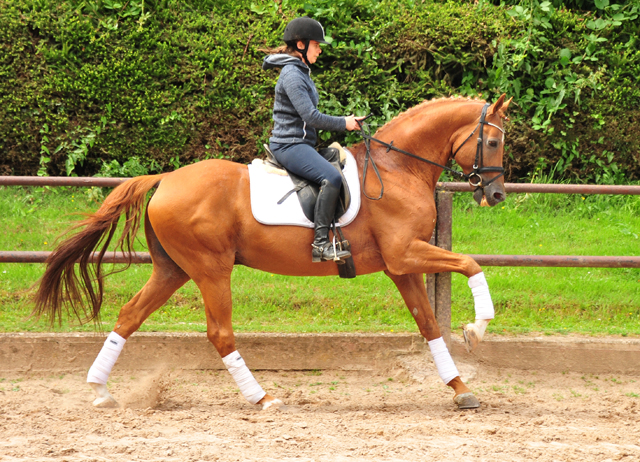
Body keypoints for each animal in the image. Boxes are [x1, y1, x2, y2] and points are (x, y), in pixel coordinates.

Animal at [32, 93, 512, 408]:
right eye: (492, 142)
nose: (496, 195)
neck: (398, 168)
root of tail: (166, 178)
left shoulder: (401, 267)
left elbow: (428, 324)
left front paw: (460, 388)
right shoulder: (405, 254)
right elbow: (470, 264)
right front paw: (477, 328)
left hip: (173, 270)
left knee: (130, 315)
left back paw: (100, 392)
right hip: (211, 270)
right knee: (220, 333)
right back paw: (261, 398)